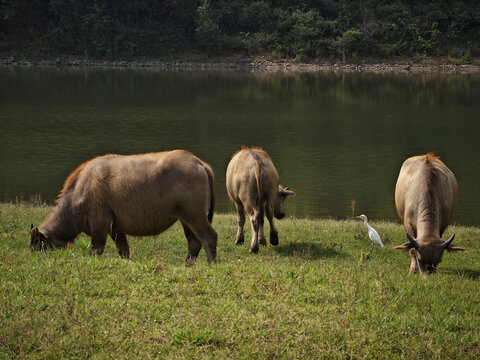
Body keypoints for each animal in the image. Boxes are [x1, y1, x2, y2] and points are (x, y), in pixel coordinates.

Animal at [30, 149, 218, 264]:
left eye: (38, 245)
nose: (34, 257)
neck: (79, 191)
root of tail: (197, 162)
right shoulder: (116, 229)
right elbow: (123, 250)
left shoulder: (100, 226)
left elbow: (96, 250)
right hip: (185, 218)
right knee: (194, 241)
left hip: (195, 215)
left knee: (209, 237)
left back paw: (211, 264)